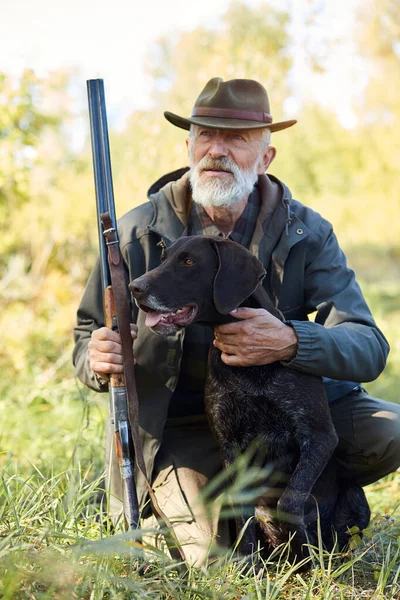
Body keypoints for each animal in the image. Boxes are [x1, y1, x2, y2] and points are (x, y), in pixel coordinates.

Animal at [130, 237, 370, 564]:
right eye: (164, 258)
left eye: (189, 262)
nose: (134, 287)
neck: (252, 369)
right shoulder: (230, 444)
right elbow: (244, 510)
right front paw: (250, 565)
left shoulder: (319, 436)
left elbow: (290, 499)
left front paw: (303, 553)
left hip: (355, 496)